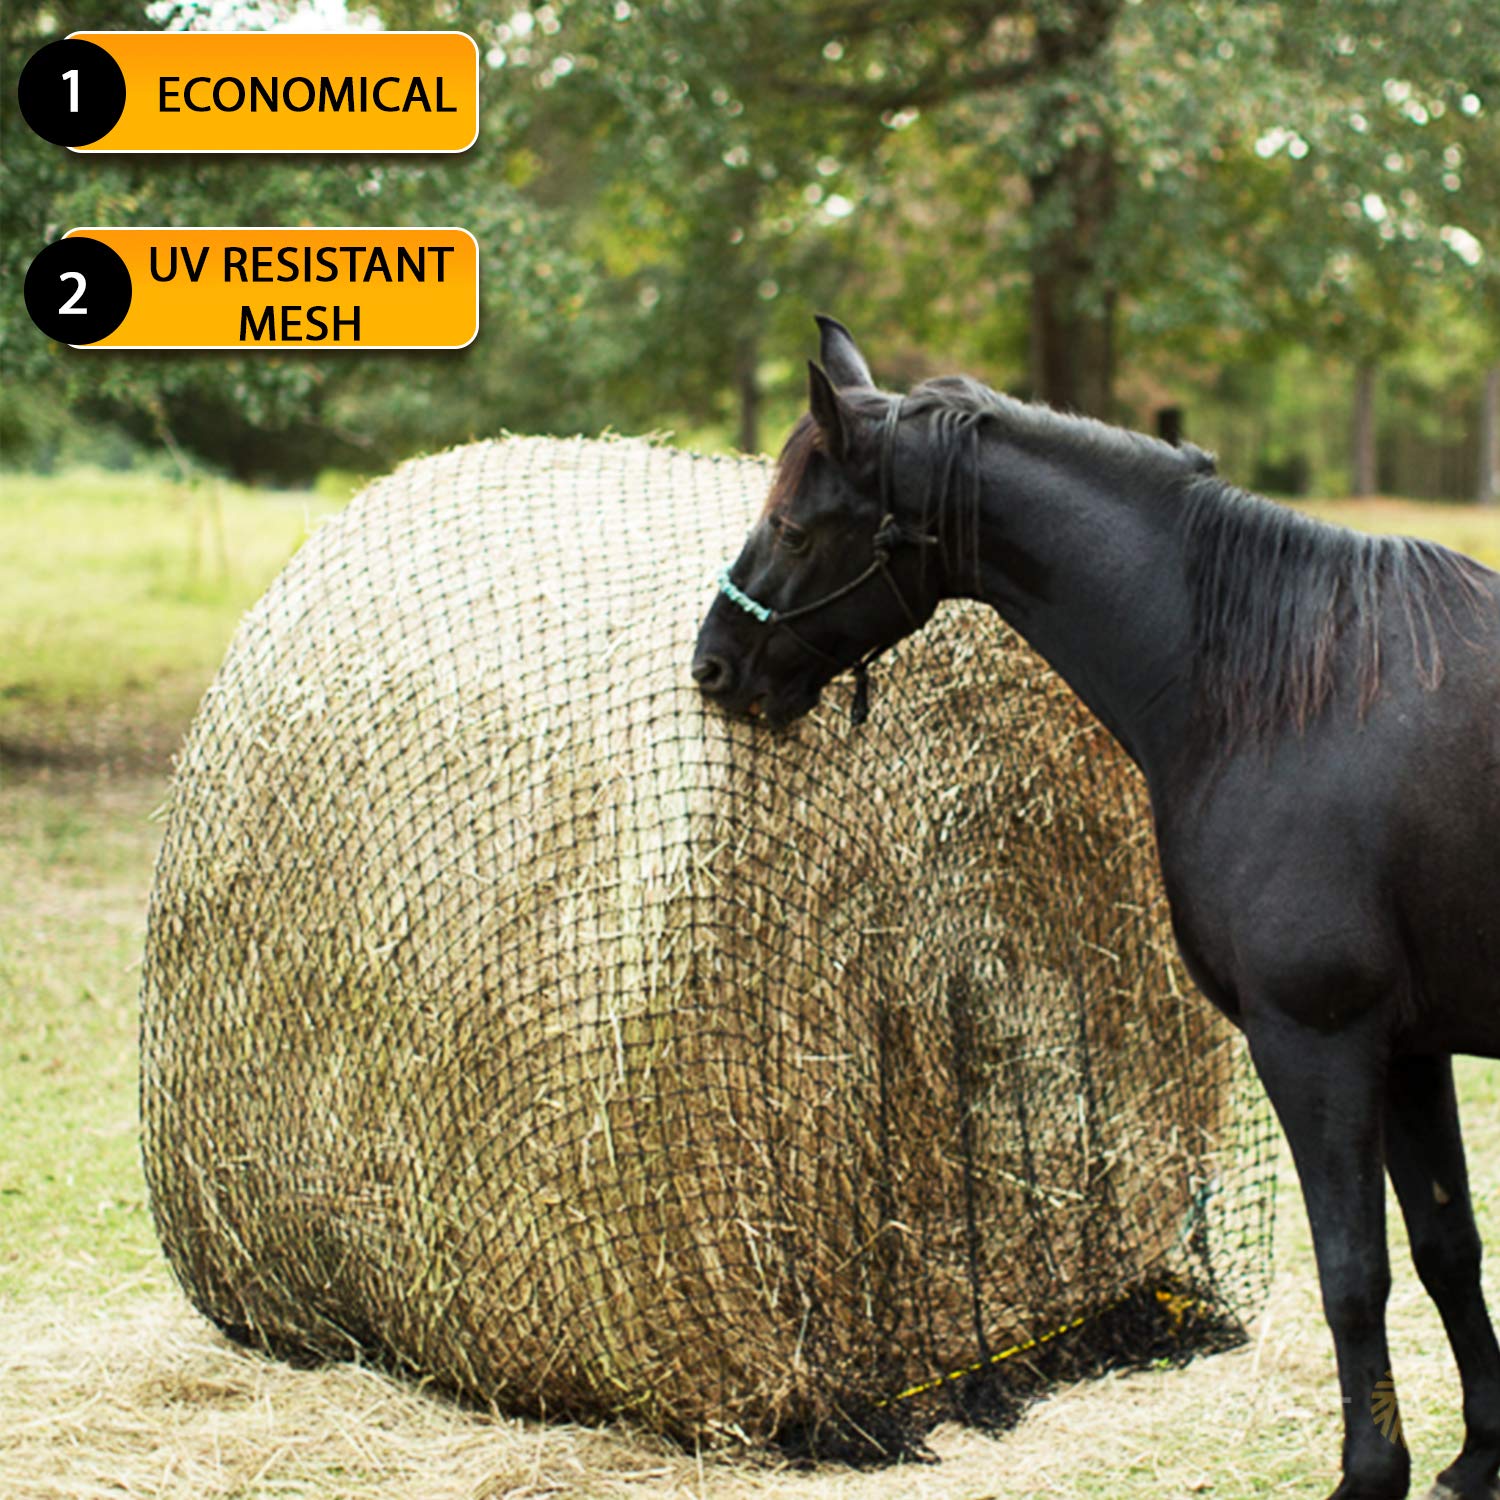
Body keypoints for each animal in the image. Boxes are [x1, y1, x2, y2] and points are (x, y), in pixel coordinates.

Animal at [690, 317, 1500, 1500]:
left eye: (793, 527)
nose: (713, 665)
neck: (1278, 696)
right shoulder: (1411, 1047)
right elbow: (1448, 1248)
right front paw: (1478, 1456)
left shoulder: (1319, 1041)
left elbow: (1354, 1272)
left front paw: (1370, 1474)